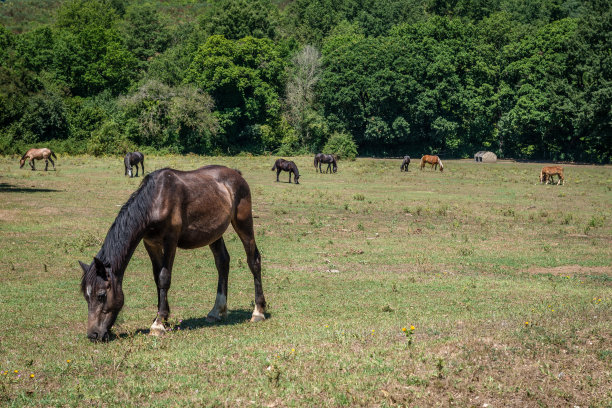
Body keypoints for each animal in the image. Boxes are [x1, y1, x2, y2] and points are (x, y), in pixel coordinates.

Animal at [78, 166, 266, 342]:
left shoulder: (170, 241)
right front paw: (163, 317)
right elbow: (157, 278)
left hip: (243, 222)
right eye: (86, 296)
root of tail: (236, 174)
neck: (155, 201)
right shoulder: (150, 243)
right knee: (222, 262)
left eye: (101, 295)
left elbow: (164, 278)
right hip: (214, 233)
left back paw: (258, 311)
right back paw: (216, 311)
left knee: (253, 260)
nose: (93, 335)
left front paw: (158, 324)